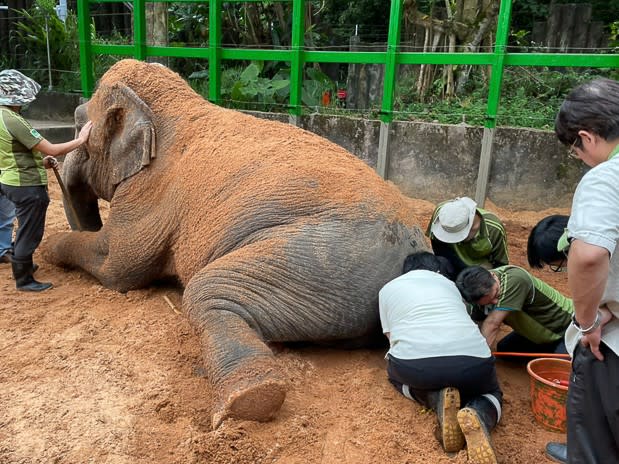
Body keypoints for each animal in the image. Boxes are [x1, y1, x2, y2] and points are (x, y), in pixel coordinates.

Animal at [46, 59, 428, 430]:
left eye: (78, 125)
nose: (50, 160)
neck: (173, 106)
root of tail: (413, 248)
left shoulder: (149, 191)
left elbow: (118, 268)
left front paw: (48, 249)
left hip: (320, 259)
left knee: (206, 292)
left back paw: (244, 402)